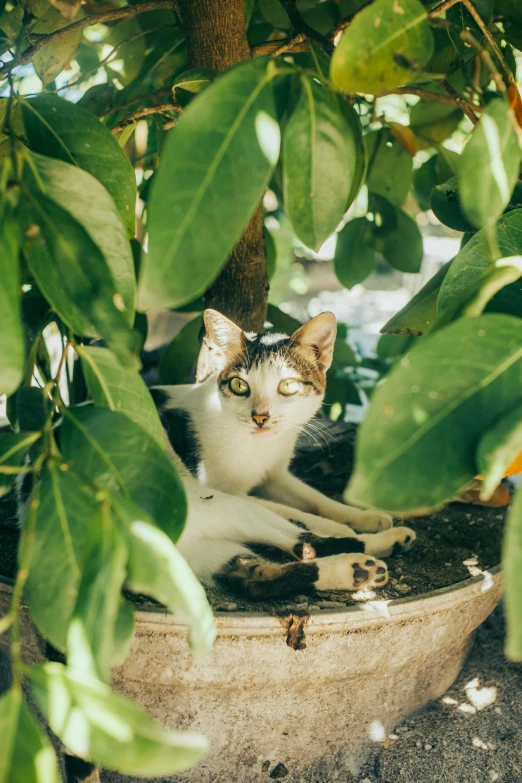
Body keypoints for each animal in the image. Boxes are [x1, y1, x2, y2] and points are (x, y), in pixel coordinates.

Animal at [151, 310, 414, 596]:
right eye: (239, 385)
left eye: (288, 386)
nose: (259, 417)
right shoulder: (223, 488)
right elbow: (297, 513)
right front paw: (340, 527)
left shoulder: (275, 475)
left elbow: (316, 498)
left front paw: (364, 515)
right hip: (214, 503)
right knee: (306, 541)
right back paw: (376, 547)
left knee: (264, 578)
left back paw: (361, 569)